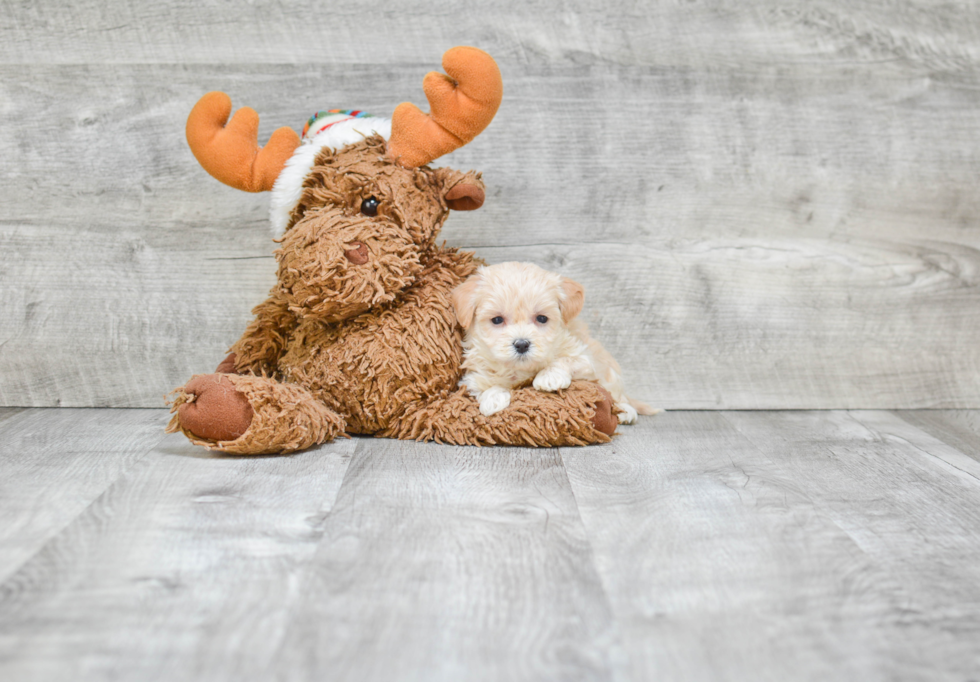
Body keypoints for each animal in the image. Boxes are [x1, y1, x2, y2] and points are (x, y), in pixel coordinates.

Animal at [454, 258, 660, 420]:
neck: (522, 371)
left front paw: (549, 376)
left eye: (542, 318)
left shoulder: (586, 360)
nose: (522, 344)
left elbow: (565, 360)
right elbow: (485, 383)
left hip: (611, 373)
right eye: (497, 320)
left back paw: (626, 411)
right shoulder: (472, 378)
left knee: (619, 395)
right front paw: (492, 397)